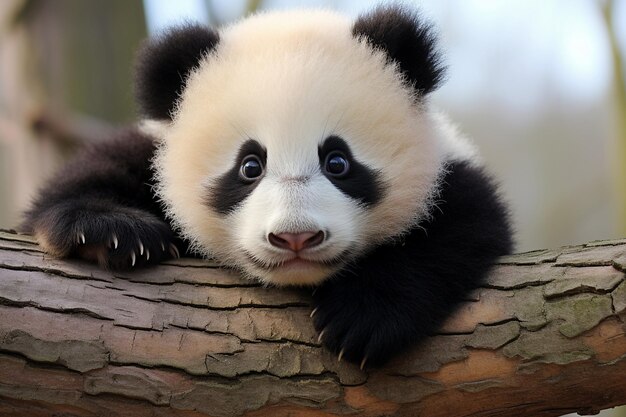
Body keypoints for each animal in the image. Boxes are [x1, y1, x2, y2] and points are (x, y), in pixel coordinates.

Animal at [23, 4, 512, 366]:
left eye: (337, 162)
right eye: (250, 166)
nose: (296, 237)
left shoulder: (453, 172)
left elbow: (463, 228)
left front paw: (361, 316)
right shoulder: (148, 149)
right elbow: (87, 180)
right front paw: (112, 232)